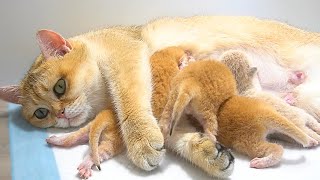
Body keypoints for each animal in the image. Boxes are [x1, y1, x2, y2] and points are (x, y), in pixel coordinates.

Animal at [46, 47, 234, 179]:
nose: (192, 57)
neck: (168, 53)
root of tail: (104, 116)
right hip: (114, 142)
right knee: (95, 153)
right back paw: (86, 165)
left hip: (98, 134)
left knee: (78, 136)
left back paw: (56, 140)